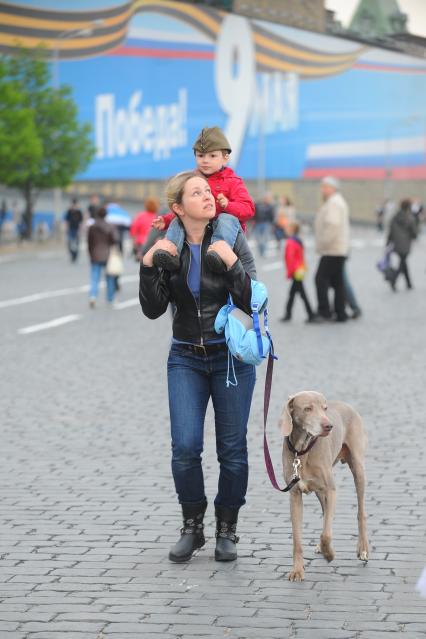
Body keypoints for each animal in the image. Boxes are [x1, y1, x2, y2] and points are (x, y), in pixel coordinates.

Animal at [280, 388, 370, 584]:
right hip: (320, 491)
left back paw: (363, 549)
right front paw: (297, 570)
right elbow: (297, 539)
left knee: (361, 512)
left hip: (358, 469)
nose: (329, 426)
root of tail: (347, 405)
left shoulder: (331, 490)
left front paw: (330, 554)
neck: (302, 449)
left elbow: (327, 533)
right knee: (325, 513)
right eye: (307, 408)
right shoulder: (295, 495)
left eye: (324, 408)